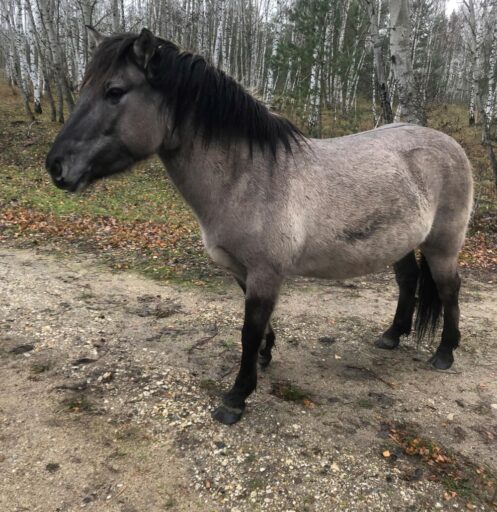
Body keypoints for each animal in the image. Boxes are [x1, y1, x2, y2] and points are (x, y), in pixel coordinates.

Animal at [46, 30, 472, 426]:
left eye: (114, 91)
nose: (55, 166)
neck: (249, 177)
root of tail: (451, 144)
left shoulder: (266, 273)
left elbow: (247, 332)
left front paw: (236, 398)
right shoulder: (242, 270)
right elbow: (260, 326)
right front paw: (265, 357)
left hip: (442, 245)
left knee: (449, 289)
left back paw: (445, 353)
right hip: (399, 243)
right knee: (408, 281)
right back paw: (392, 336)